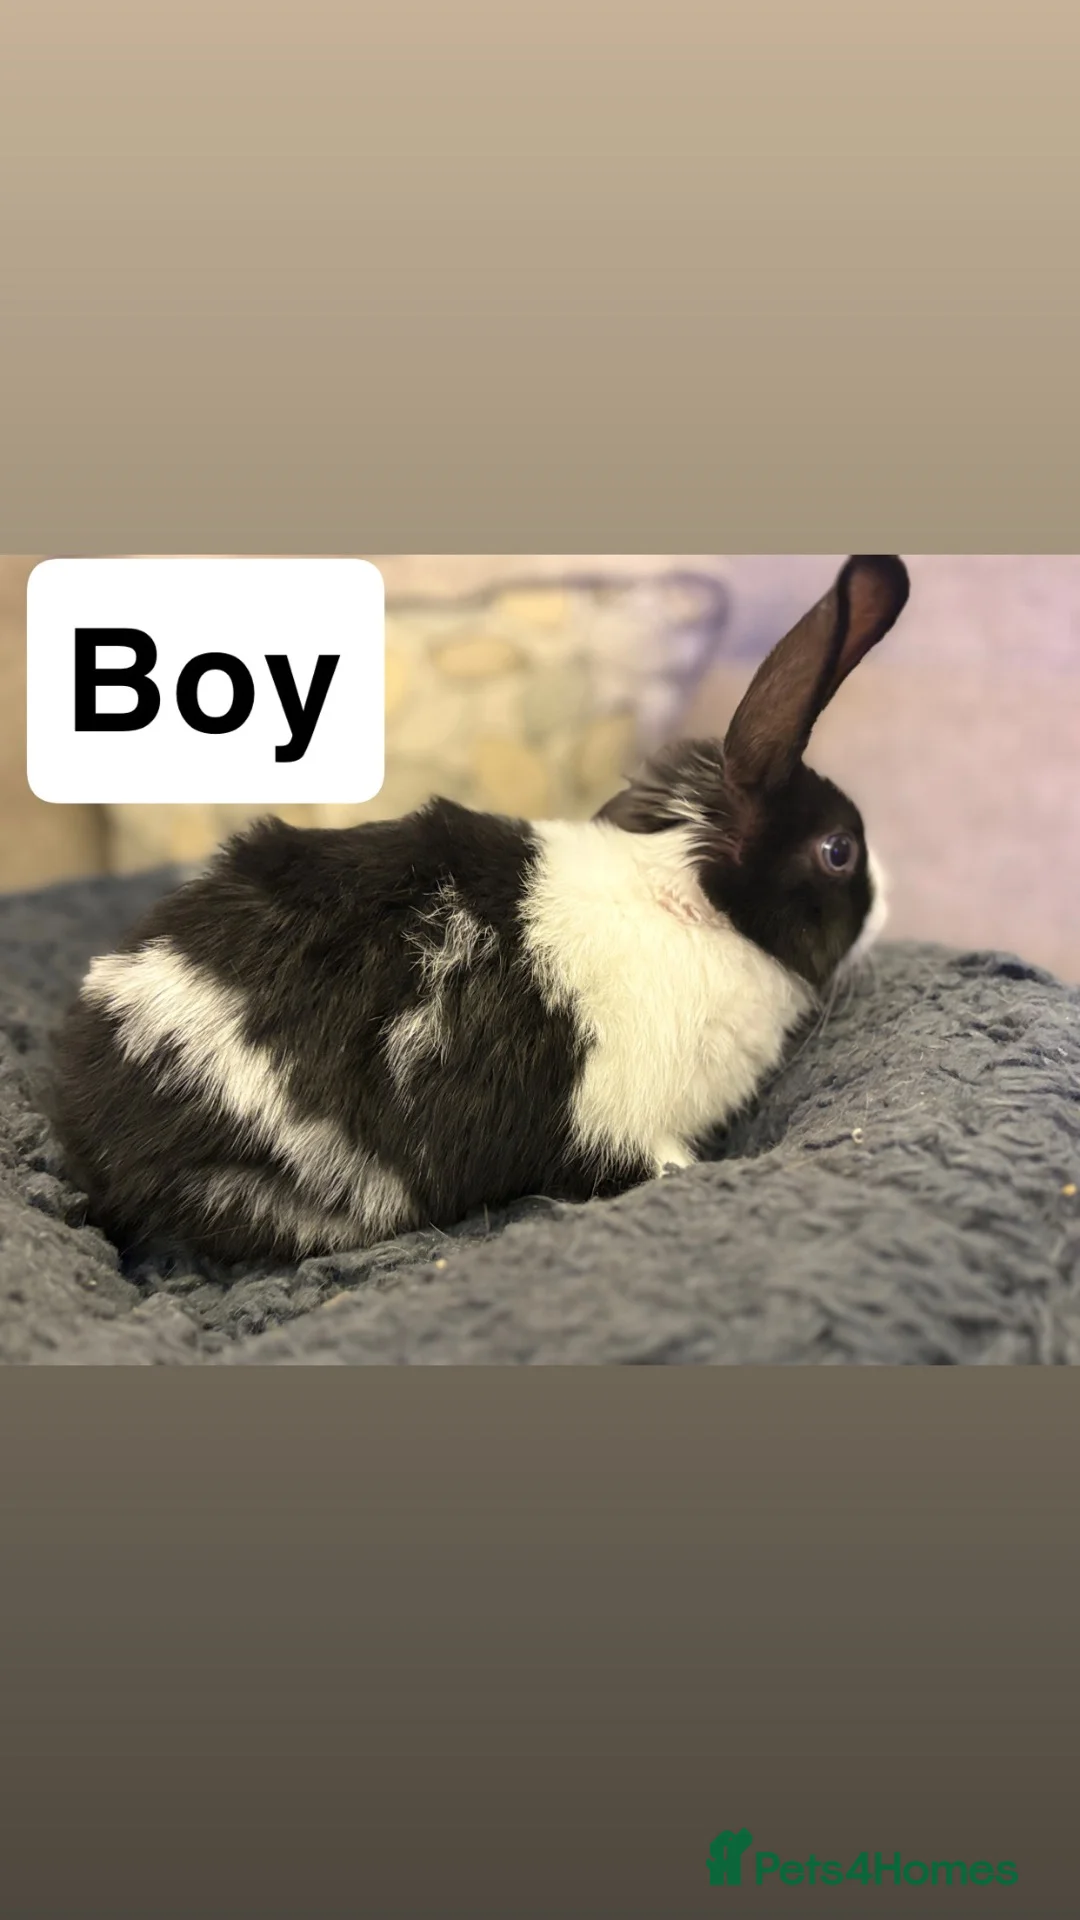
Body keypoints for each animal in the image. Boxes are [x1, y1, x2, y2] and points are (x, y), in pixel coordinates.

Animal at [49, 553, 910, 1265]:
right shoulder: (631, 1119)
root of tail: (91, 1120)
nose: (887, 902)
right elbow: (661, 1159)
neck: (692, 906)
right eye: (839, 851)